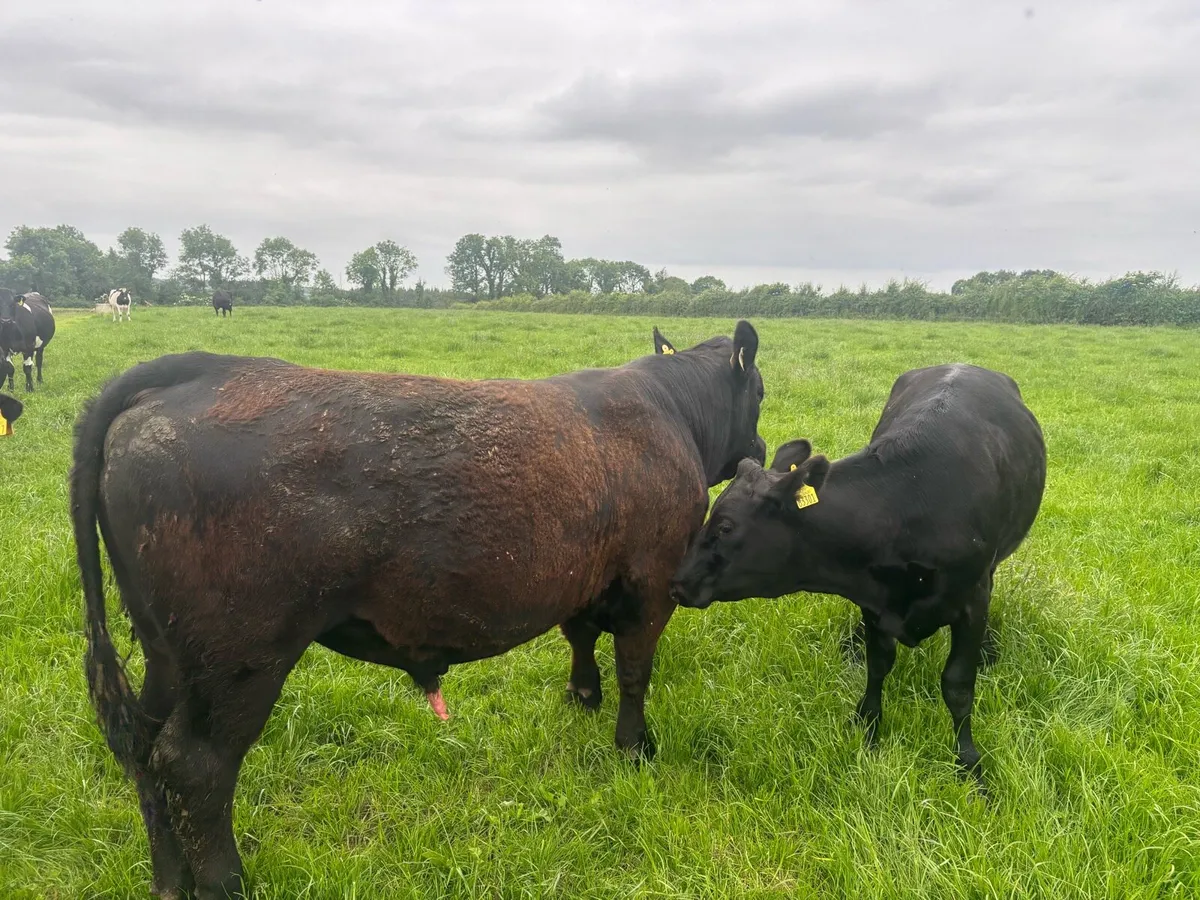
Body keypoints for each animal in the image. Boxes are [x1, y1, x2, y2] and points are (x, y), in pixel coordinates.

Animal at [72, 322, 766, 898]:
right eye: (759, 392)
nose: (759, 448)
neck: (670, 410)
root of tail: (195, 371)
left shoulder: (589, 579)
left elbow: (581, 639)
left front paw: (581, 698)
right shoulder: (653, 582)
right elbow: (634, 669)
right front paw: (633, 748)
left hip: (168, 653)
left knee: (145, 750)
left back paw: (169, 881)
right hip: (240, 657)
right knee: (195, 768)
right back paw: (226, 885)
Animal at [670, 363, 1046, 787]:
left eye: (725, 527)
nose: (678, 582)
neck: (907, 505)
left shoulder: (971, 598)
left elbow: (958, 685)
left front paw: (969, 763)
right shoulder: (873, 599)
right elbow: (878, 665)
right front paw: (866, 728)